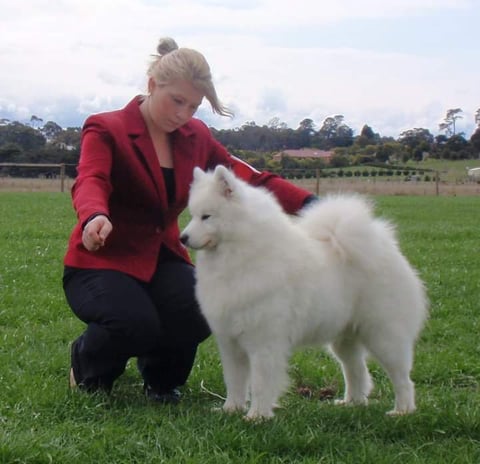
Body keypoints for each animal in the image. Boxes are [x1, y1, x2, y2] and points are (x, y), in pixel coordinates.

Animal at [180, 166, 428, 420]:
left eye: (206, 216)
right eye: (192, 214)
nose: (183, 238)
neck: (242, 254)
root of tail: (388, 248)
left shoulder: (264, 341)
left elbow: (259, 383)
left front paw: (256, 416)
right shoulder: (230, 342)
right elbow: (234, 381)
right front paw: (231, 409)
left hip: (383, 335)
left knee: (402, 378)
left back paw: (402, 411)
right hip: (345, 339)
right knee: (356, 370)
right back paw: (351, 403)